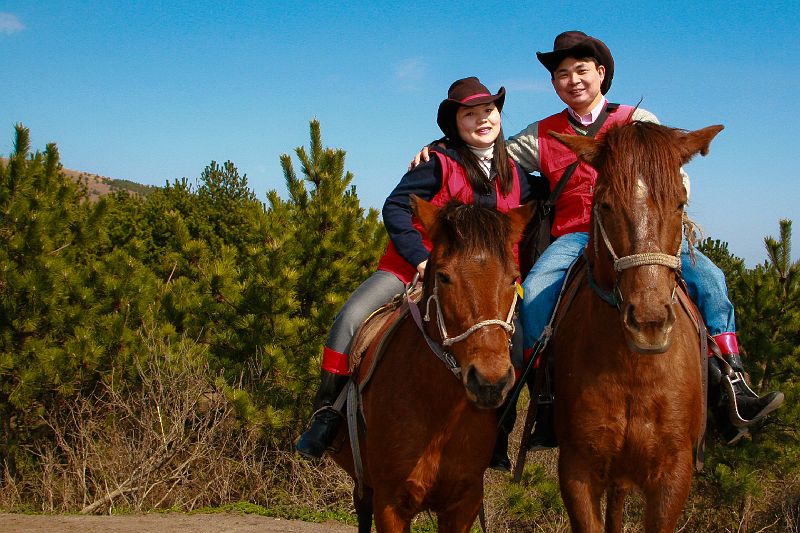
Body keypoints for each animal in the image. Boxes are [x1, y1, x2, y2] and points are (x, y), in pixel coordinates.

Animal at [328, 196, 536, 532]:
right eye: (443, 276)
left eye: (513, 278)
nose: (489, 381)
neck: (440, 415)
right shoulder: (390, 503)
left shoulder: (463, 504)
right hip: (364, 486)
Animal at [552, 121, 724, 532]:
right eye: (604, 203)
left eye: (680, 203)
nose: (649, 322)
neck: (633, 370)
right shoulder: (576, 472)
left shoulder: (673, 477)